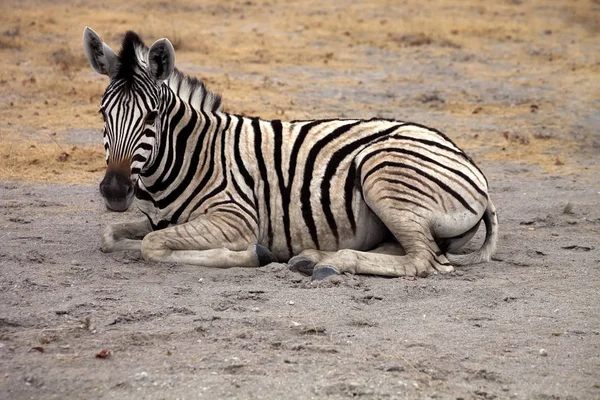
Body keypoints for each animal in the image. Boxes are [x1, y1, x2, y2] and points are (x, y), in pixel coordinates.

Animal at [82, 27, 500, 278]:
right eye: (102, 113)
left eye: (152, 116)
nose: (115, 192)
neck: (191, 153)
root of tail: (471, 166)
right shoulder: (155, 220)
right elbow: (110, 234)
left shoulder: (236, 218)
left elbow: (151, 246)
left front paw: (254, 255)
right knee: (411, 251)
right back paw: (312, 257)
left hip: (382, 174)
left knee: (423, 262)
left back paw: (331, 263)